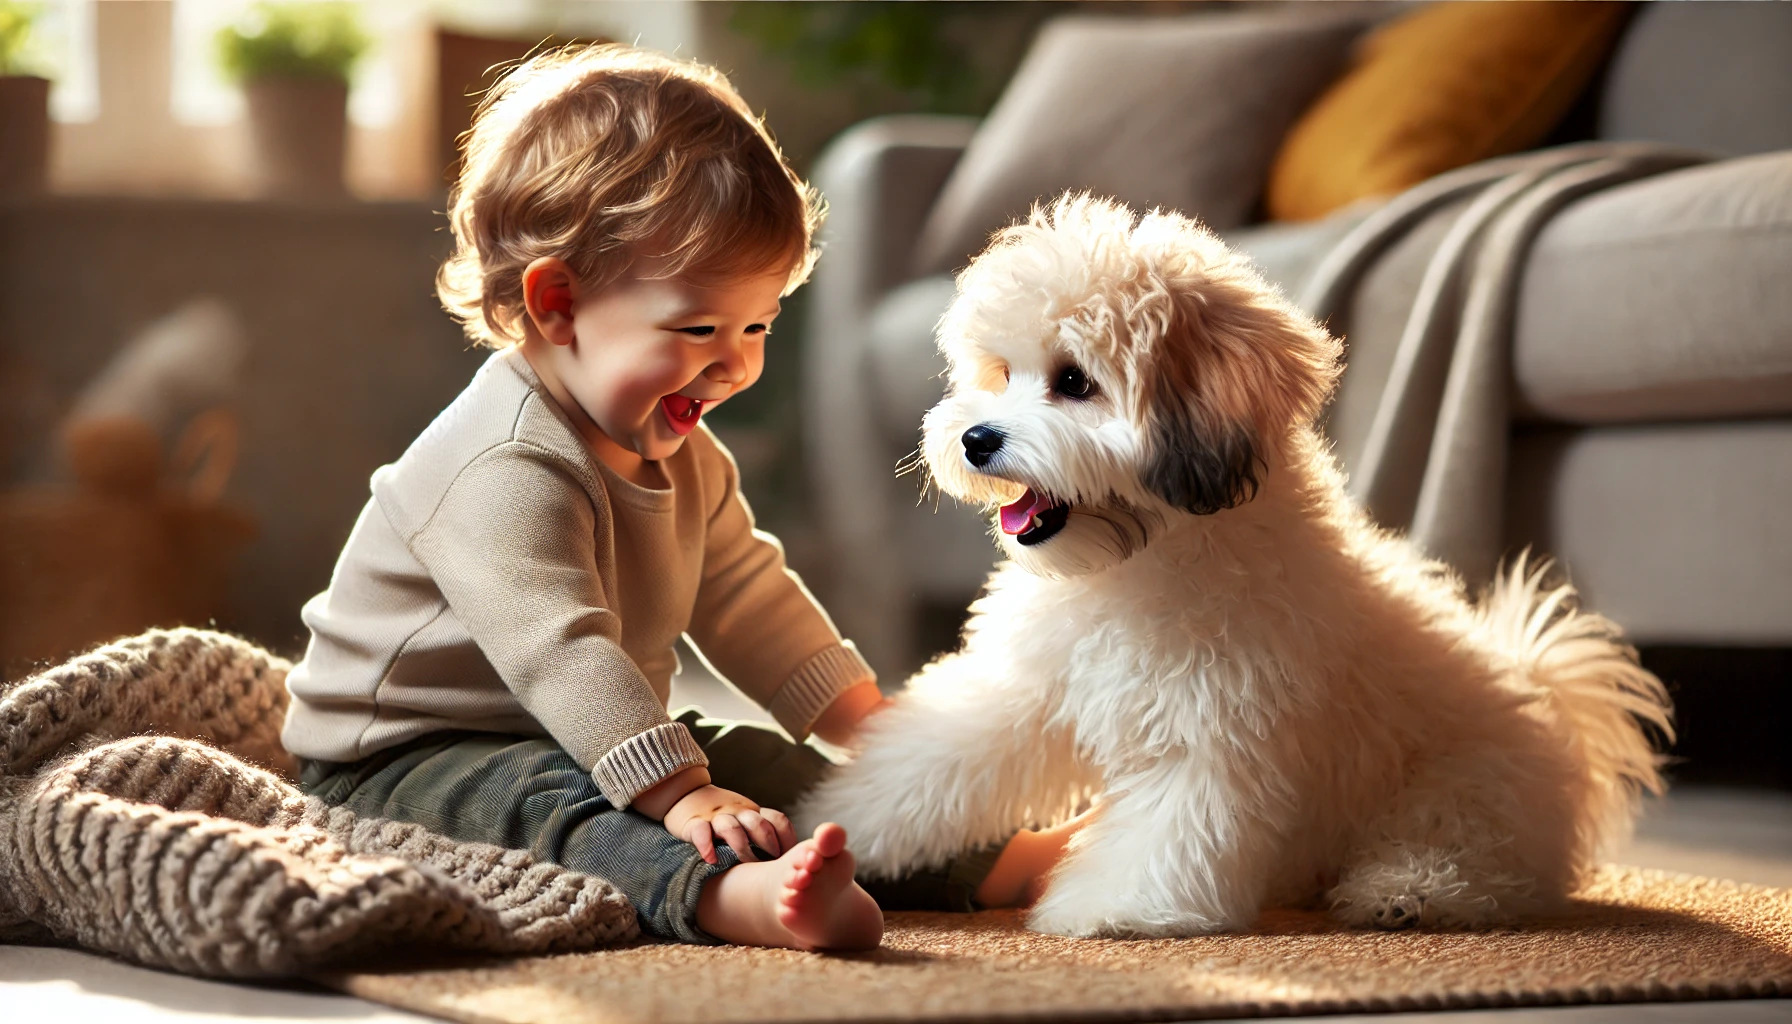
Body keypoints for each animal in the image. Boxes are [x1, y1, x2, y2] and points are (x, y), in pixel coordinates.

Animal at [795, 196, 1662, 939]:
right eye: (1000, 373)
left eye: (1074, 380)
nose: (976, 439)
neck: (1143, 558)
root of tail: (1549, 693)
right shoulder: (1025, 689)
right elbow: (937, 758)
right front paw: (845, 816)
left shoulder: (1216, 731)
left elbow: (1173, 829)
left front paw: (1114, 906)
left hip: (1461, 788)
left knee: (1475, 860)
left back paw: (1407, 892)